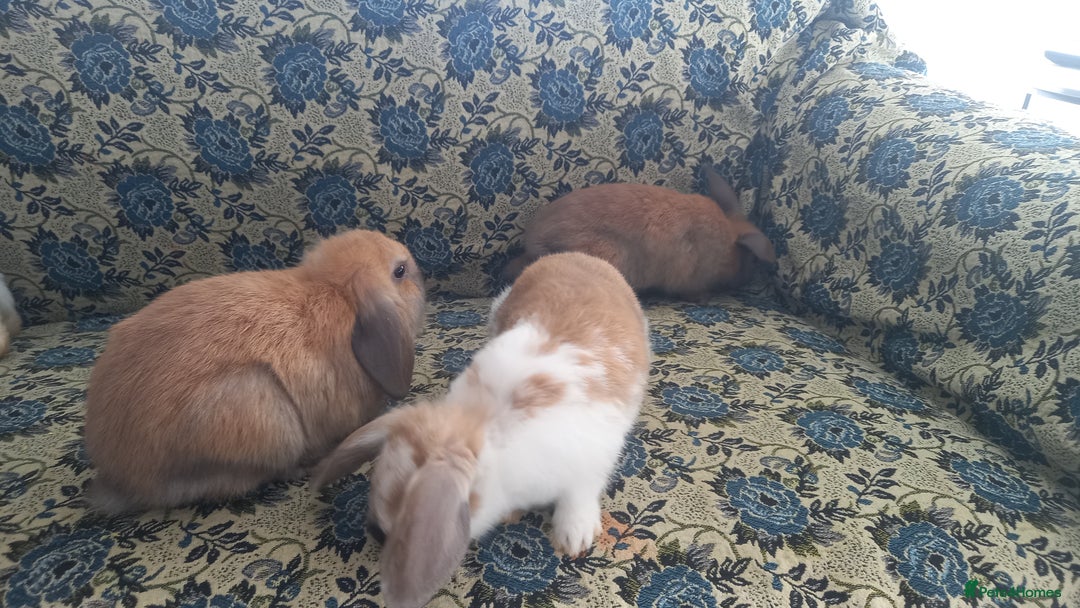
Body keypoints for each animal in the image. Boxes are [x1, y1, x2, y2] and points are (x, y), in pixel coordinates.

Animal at [312, 252, 651, 608]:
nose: (375, 533)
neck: (481, 425)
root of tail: (577, 256)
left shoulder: (591, 460)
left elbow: (579, 494)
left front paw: (573, 537)